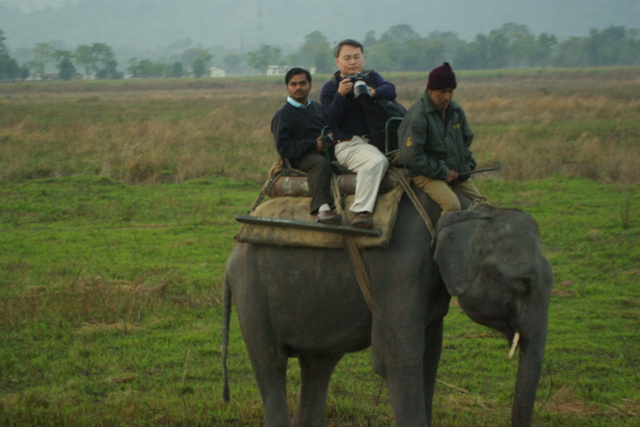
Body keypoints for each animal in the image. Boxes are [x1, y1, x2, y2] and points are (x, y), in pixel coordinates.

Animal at [221, 188, 553, 426]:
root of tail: (234, 247)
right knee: (271, 363)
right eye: (522, 283)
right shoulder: (402, 266)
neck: (465, 208)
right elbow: (397, 360)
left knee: (319, 363)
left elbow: (429, 357)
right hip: (251, 290)